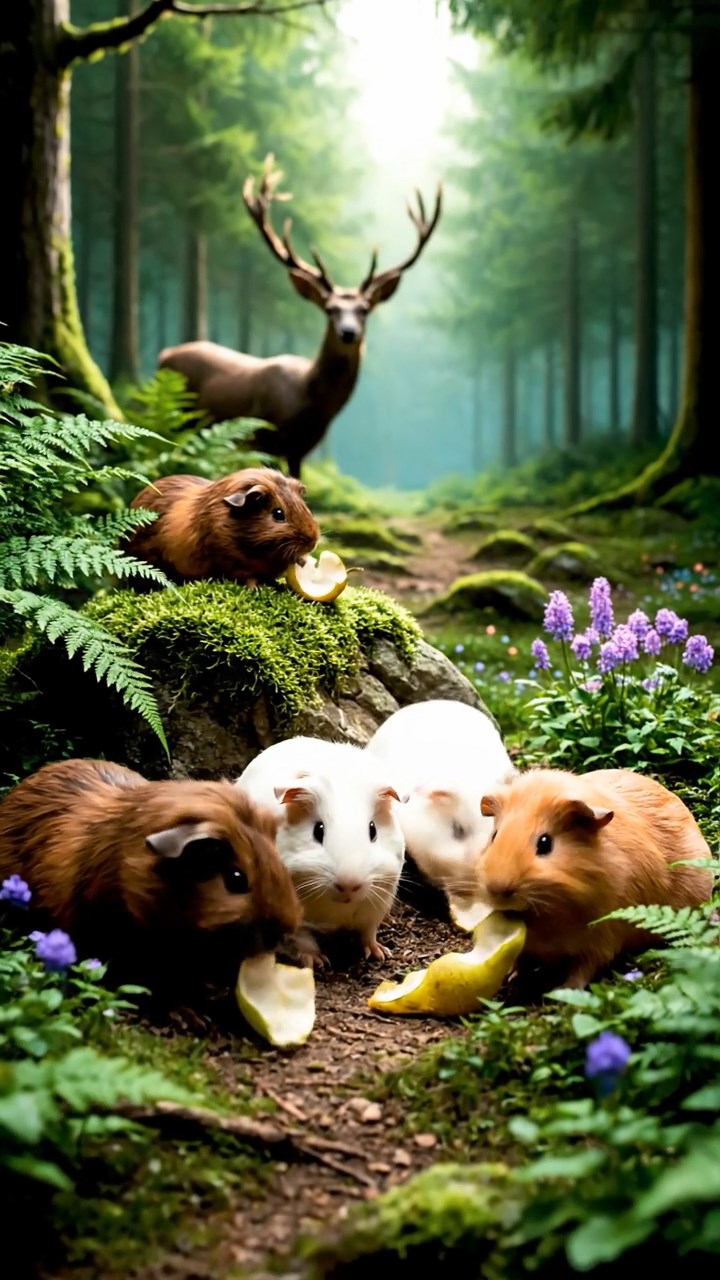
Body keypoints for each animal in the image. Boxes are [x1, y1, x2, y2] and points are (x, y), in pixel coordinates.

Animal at [157, 157, 442, 479]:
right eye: (330, 309)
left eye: (364, 309)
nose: (348, 332)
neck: (310, 403)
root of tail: (164, 354)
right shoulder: (264, 437)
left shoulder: (301, 449)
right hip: (183, 418)